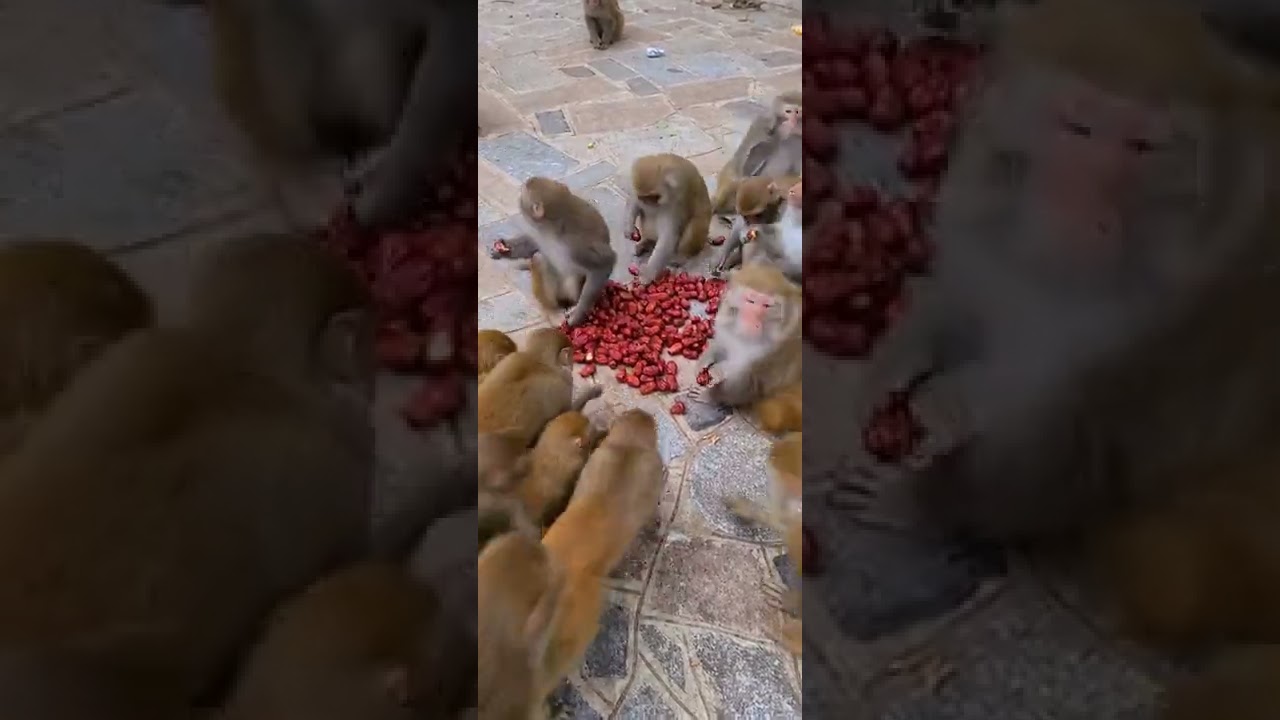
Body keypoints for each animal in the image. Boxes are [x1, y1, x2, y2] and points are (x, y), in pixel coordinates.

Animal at [510, 177, 617, 327]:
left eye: (522, 196)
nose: (518, 199)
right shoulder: (540, 230)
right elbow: (534, 242)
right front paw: (506, 249)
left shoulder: (576, 245)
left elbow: (604, 264)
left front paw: (578, 313)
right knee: (539, 259)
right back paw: (551, 310)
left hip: (570, 291)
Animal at [624, 154, 712, 284]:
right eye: (643, 197)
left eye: (654, 197)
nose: (648, 204)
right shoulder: (636, 189)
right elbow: (634, 203)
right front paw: (629, 229)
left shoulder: (676, 200)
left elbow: (668, 237)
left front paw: (648, 274)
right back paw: (647, 243)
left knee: (695, 225)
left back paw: (681, 257)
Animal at [688, 264, 801, 435]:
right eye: (751, 301)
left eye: (767, 306)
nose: (752, 318)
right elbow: (723, 344)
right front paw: (705, 360)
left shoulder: (777, 351)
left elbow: (746, 384)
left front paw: (709, 393)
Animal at [825, 0, 1280, 715]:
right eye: (1078, 125)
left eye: (1146, 148)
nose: (1081, 209)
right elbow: (969, 304)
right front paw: (897, 363)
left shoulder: (1190, 323)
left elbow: (1066, 450)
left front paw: (922, 489)